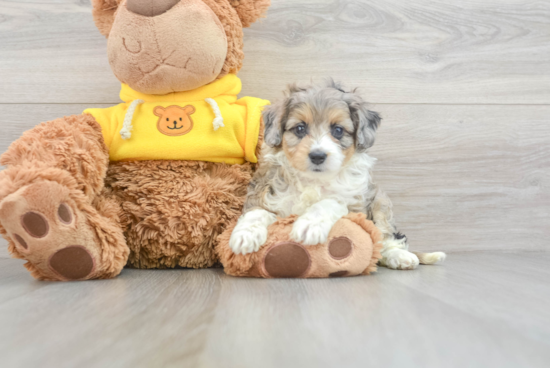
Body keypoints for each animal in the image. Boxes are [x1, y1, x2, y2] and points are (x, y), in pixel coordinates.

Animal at [230, 81, 448, 270]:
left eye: (338, 130)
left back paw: (400, 257)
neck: (313, 180)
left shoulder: (355, 206)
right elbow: (256, 212)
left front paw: (310, 225)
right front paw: (245, 234)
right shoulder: (264, 194)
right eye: (300, 128)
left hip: (380, 204)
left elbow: (331, 202)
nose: (317, 156)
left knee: (385, 238)